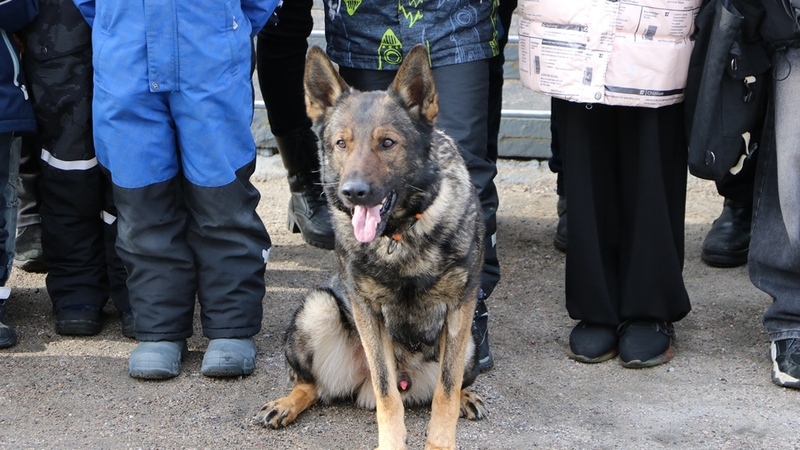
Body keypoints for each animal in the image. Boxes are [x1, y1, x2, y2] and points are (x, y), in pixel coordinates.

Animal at [255, 45, 487, 450]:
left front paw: (441, 442)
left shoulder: (460, 309)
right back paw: (288, 402)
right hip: (318, 308)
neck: (400, 235)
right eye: (341, 143)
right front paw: (392, 442)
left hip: (471, 339)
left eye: (387, 143)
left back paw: (466, 397)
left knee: (451, 382)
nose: (353, 192)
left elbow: (446, 389)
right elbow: (386, 392)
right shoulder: (368, 313)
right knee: (314, 386)